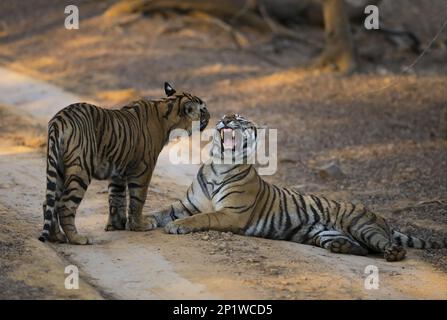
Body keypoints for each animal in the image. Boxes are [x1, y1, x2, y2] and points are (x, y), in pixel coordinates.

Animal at [38, 82, 210, 245]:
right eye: (203, 109)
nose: (210, 114)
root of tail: (60, 119)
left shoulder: (118, 169)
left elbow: (117, 198)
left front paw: (116, 225)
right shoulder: (143, 168)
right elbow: (137, 198)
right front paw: (139, 225)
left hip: (59, 169)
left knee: (49, 202)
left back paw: (57, 237)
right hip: (81, 170)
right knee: (64, 204)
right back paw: (78, 238)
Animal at [148, 114, 447, 262]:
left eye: (241, 119)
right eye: (226, 115)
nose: (227, 119)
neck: (219, 163)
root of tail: (380, 217)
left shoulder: (231, 214)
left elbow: (203, 217)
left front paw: (177, 226)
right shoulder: (186, 204)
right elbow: (160, 211)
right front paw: (143, 221)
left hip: (361, 225)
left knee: (382, 244)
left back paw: (393, 253)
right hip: (324, 232)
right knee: (362, 249)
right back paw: (341, 247)